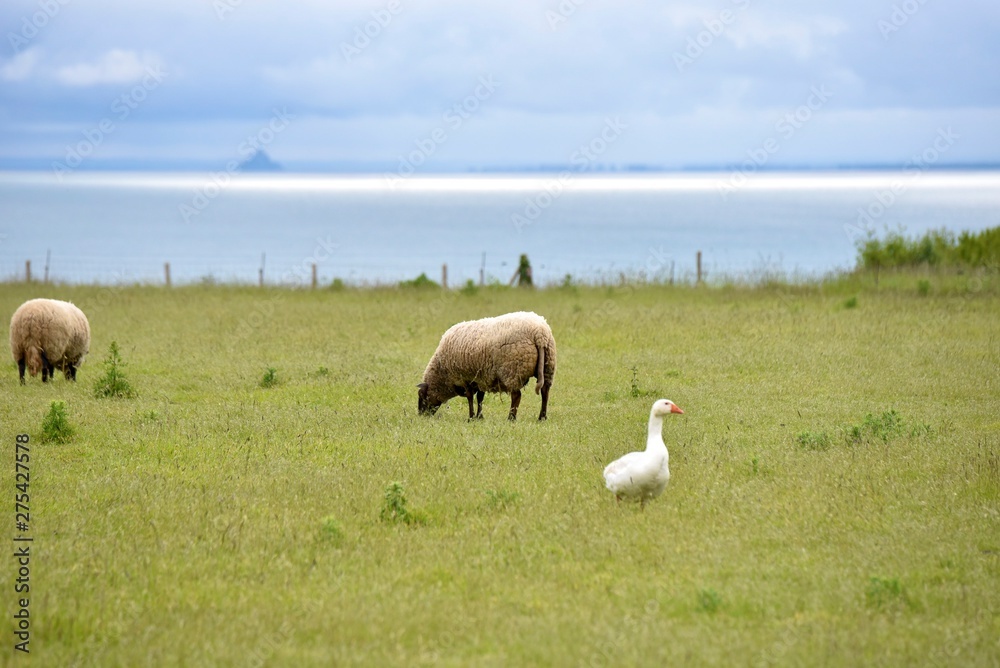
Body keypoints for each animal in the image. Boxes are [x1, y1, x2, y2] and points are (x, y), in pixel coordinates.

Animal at [418, 311, 556, 421]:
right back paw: (542, 417)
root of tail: (539, 334)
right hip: (548, 366)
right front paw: (479, 416)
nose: (421, 415)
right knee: (545, 392)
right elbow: (480, 397)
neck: (442, 372)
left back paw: (511, 418)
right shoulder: (481, 377)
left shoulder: (464, 377)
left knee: (516, 395)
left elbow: (470, 397)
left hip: (513, 370)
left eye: (422, 396)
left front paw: (471, 417)